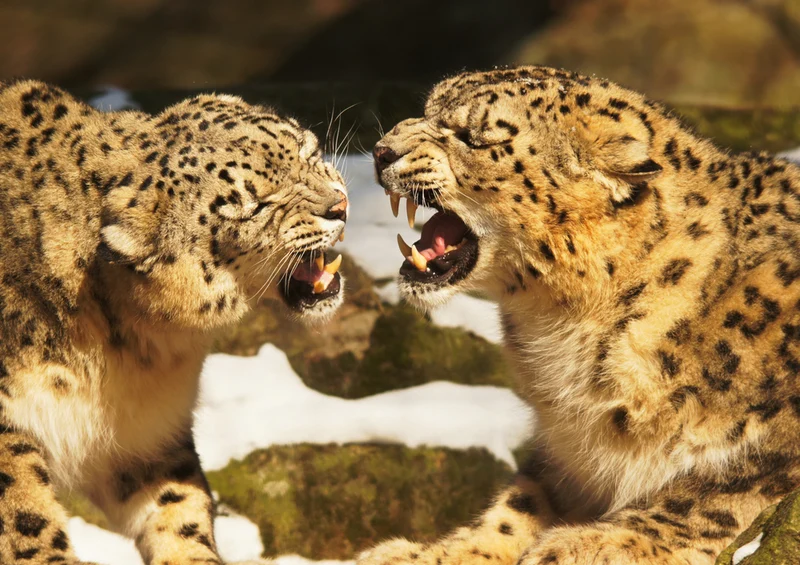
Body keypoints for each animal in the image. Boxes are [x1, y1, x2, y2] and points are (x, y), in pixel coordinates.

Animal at [0, 79, 348, 564]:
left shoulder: (146, 435)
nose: (341, 204)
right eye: (257, 205)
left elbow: (179, 504)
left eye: (307, 150)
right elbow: (21, 508)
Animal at [363, 65, 800, 564]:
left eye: (474, 137)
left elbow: (716, 493)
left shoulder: (772, 442)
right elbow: (519, 503)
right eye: (428, 108)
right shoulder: (565, 450)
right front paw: (424, 553)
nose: (381, 150)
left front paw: (587, 544)